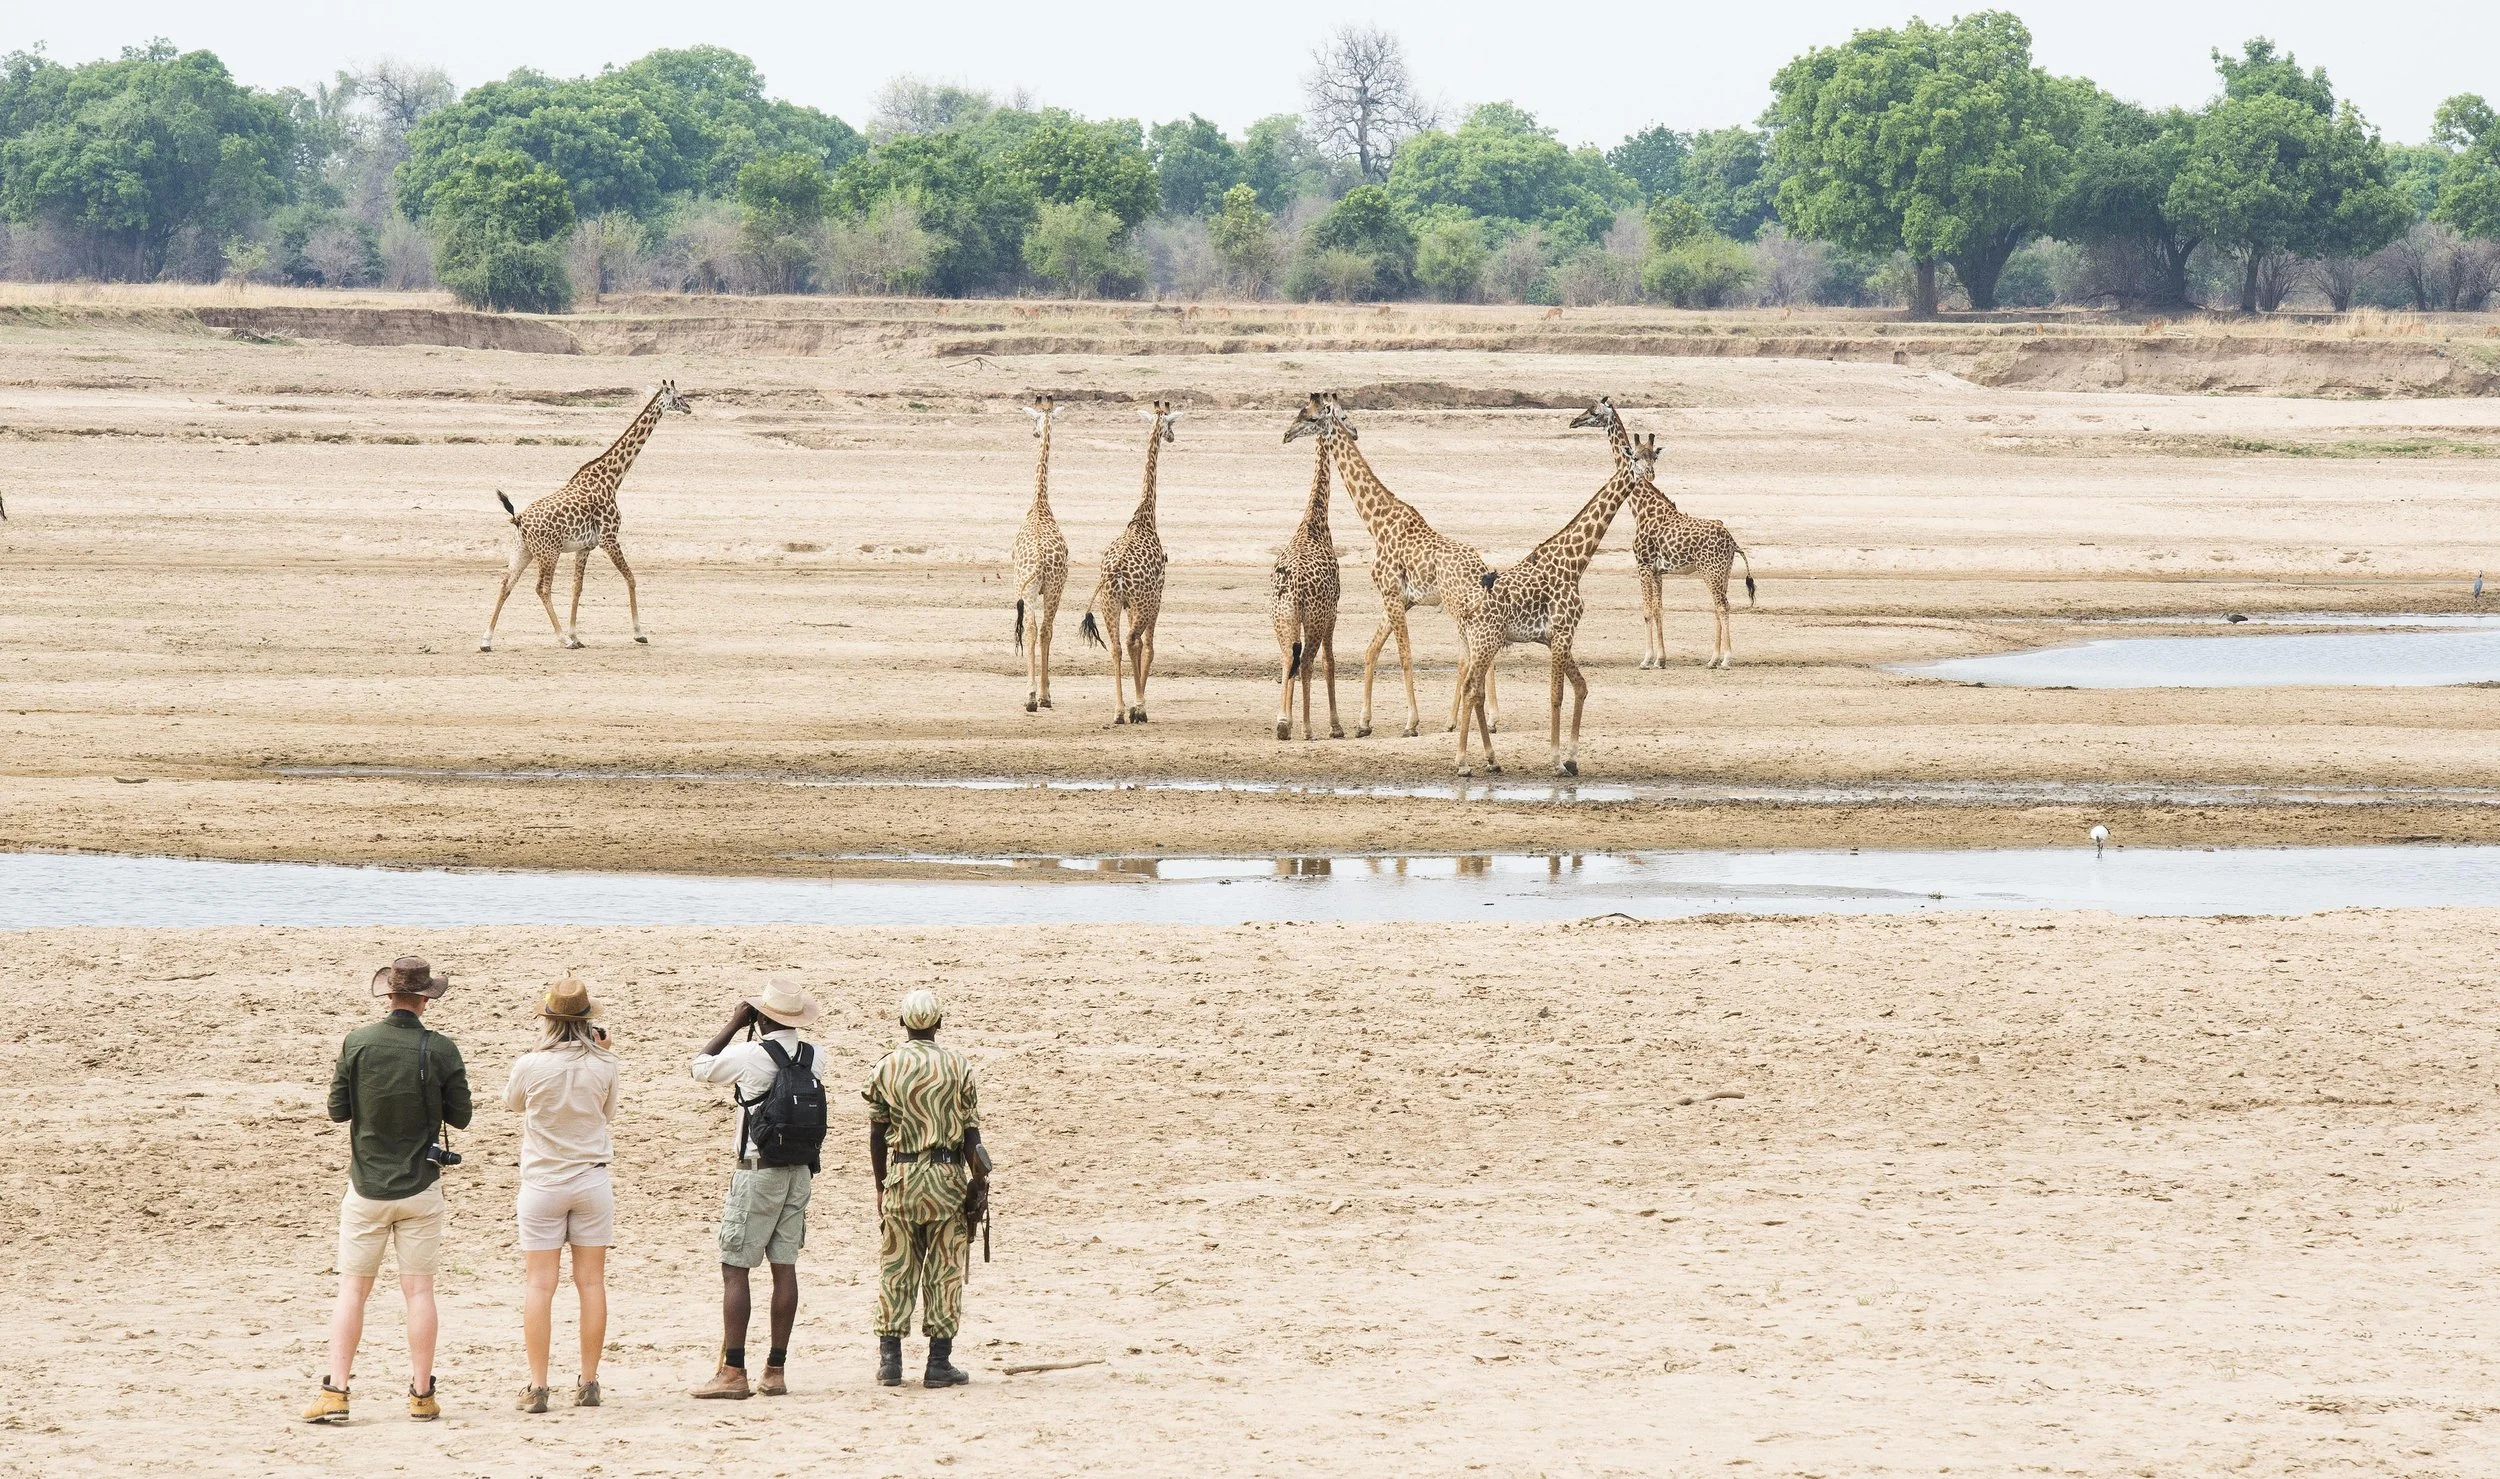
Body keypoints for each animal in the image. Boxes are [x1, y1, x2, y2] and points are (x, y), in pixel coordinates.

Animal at [481, 381, 692, 651]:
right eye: (679, 396)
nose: (688, 408)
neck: (612, 478)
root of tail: (519, 520)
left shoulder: (585, 547)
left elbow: (577, 587)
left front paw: (576, 635)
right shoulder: (609, 538)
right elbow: (631, 578)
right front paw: (638, 633)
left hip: (523, 550)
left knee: (506, 585)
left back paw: (486, 640)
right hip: (548, 553)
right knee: (542, 588)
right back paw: (560, 639)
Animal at [1079, 400, 1181, 725]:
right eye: (1170, 423)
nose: (1172, 437)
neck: (1145, 516)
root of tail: (1116, 574)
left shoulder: (1128, 605)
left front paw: (1132, 706)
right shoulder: (1157, 598)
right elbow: (1149, 647)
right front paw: (1141, 706)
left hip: (1109, 604)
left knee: (1115, 646)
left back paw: (1118, 710)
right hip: (1141, 603)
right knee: (1131, 641)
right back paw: (1135, 707)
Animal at [1281, 392, 1497, 739]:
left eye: (1311, 417)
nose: (1286, 434)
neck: (1376, 523)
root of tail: (1482, 569)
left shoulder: (1393, 594)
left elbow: (1405, 655)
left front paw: (1411, 723)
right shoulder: (1398, 599)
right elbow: (1371, 651)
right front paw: (1363, 723)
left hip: (1458, 606)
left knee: (1472, 654)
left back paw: (1473, 719)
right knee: (1477, 653)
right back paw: (1474, 719)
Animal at [1452, 434, 1657, 778]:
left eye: (1654, 456)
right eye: (1634, 457)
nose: (1650, 475)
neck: (1575, 562)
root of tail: (1463, 611)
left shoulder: (1555, 638)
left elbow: (1582, 687)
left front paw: (1572, 759)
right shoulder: (1563, 633)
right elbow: (1556, 696)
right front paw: (1557, 761)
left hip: (1476, 644)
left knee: (1476, 691)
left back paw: (1493, 760)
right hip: (1485, 642)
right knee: (1470, 689)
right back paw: (1463, 762)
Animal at [1570, 396, 1755, 670]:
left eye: (1594, 412)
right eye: (1637, 456)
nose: (1574, 421)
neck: (1641, 507)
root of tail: (1733, 542)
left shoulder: (1643, 565)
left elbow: (1647, 611)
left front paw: (1646, 659)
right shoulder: (1658, 571)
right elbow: (1659, 611)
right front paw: (1661, 659)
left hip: (1711, 570)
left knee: (1722, 606)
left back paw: (1722, 659)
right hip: (1724, 572)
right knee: (1718, 606)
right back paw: (1713, 658)